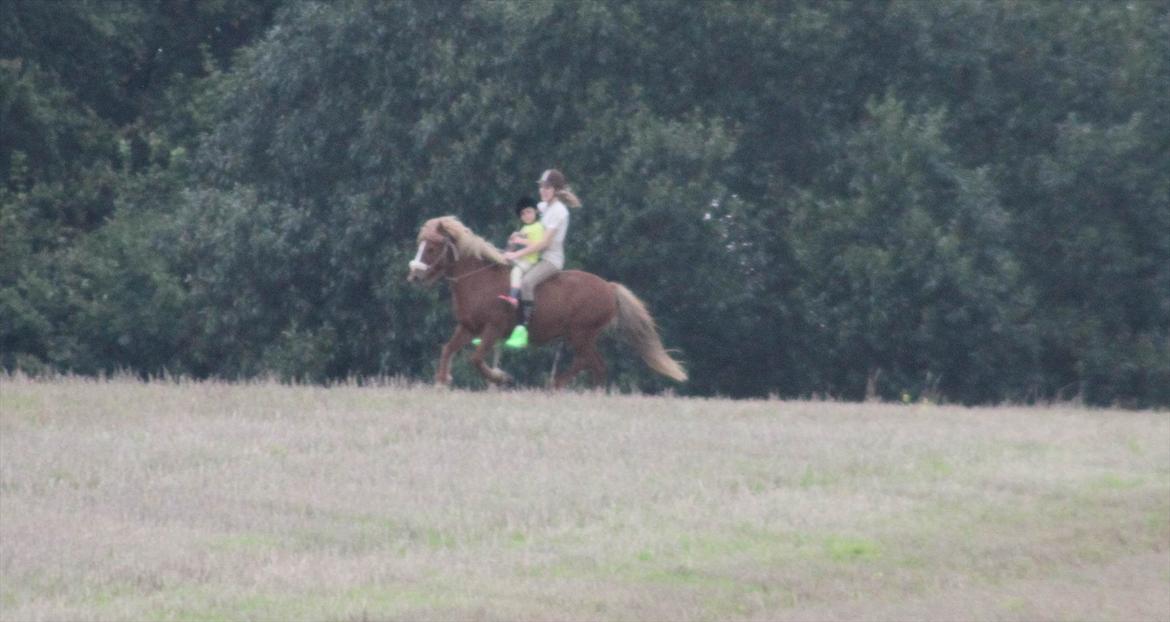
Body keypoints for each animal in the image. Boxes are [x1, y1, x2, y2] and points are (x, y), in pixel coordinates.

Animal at [409, 216, 687, 385]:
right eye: (420, 244)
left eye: (432, 247)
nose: (414, 275)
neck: (479, 279)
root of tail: (609, 287)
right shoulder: (468, 327)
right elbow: (448, 349)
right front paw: (442, 380)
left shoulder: (493, 328)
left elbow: (475, 359)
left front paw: (500, 378)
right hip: (581, 336)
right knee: (593, 365)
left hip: (581, 334)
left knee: (594, 364)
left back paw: (558, 385)